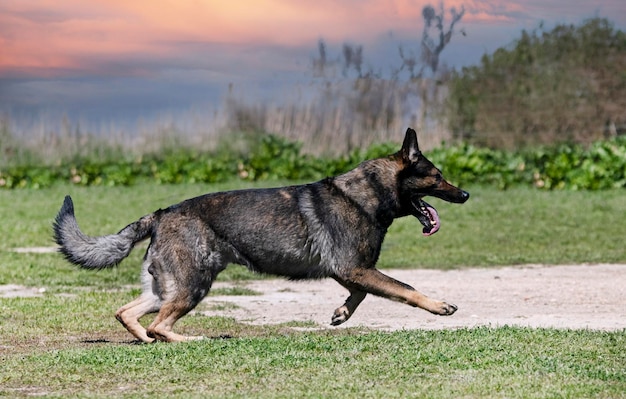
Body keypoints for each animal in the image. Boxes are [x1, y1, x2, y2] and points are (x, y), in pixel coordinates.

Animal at [53, 128, 468, 344]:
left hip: (168, 288)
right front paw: (439, 306)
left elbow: (362, 294)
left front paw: (341, 313)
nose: (464, 194)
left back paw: (145, 339)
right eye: (437, 177)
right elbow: (405, 288)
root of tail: (160, 214)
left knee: (128, 312)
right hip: (193, 285)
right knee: (160, 325)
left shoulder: (350, 271)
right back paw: (188, 341)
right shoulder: (355, 268)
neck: (366, 194)